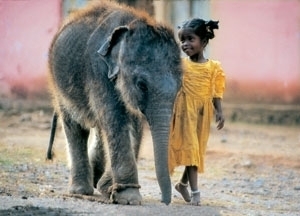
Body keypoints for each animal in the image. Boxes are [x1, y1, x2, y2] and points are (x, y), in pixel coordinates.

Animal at [47, 0, 183, 206]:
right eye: (142, 85)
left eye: (179, 88)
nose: (165, 201)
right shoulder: (97, 71)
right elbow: (116, 119)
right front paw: (128, 198)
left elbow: (133, 123)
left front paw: (110, 189)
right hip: (57, 83)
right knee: (76, 126)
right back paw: (81, 190)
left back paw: (97, 181)